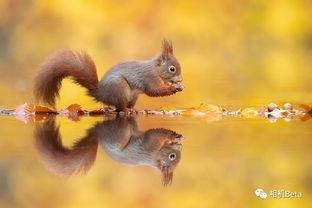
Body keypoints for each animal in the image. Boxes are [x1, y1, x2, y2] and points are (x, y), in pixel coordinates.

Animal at [34, 39, 184, 111]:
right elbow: (154, 90)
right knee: (119, 108)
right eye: (172, 69)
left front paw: (177, 86)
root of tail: (101, 93)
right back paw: (128, 111)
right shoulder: (149, 78)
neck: (155, 69)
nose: (181, 80)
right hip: (120, 88)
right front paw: (173, 88)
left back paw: (136, 109)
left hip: (133, 97)